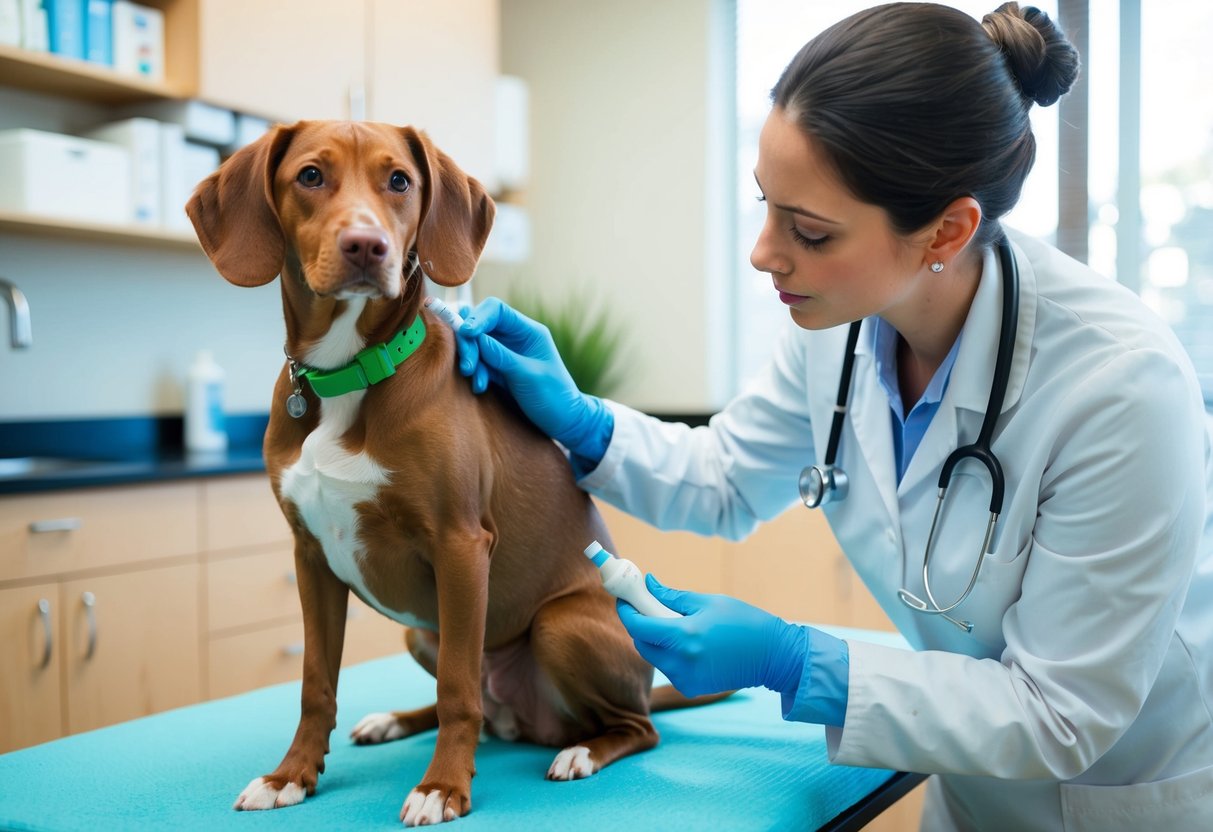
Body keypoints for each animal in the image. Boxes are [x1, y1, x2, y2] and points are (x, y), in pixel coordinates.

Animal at [181, 122, 708, 829]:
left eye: (399, 180)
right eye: (310, 176)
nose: (367, 246)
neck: (350, 372)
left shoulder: (461, 544)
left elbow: (460, 689)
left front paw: (443, 787)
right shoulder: (310, 558)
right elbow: (317, 683)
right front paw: (291, 776)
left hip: (559, 626)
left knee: (629, 726)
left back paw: (580, 751)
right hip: (420, 630)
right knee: (472, 702)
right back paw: (397, 721)